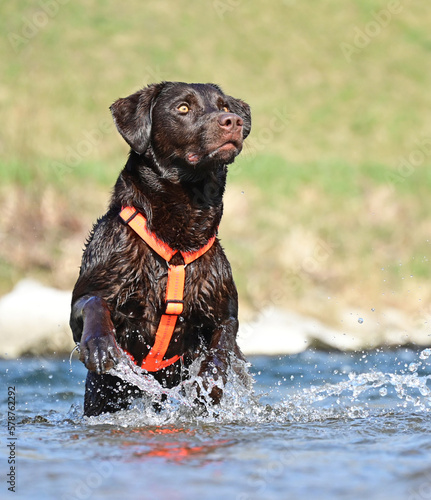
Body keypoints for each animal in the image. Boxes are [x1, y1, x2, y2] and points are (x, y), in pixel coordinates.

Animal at [70, 82, 251, 416]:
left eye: (223, 106)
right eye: (183, 108)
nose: (232, 120)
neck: (177, 242)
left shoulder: (222, 308)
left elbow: (223, 341)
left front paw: (209, 381)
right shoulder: (92, 287)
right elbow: (93, 303)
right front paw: (100, 345)